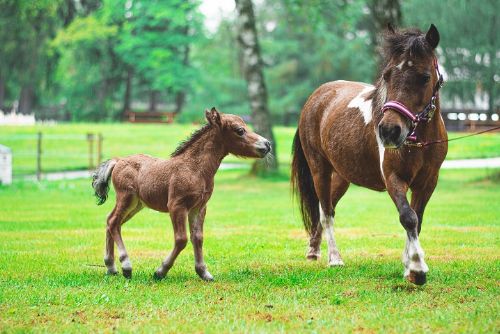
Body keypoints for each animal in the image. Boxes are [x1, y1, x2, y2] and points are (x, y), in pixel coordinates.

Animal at [90, 108, 270, 280]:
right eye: (240, 130)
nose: (267, 144)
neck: (195, 169)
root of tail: (118, 161)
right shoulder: (177, 206)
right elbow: (181, 239)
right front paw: (160, 271)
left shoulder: (199, 208)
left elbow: (197, 237)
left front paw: (203, 272)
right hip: (126, 198)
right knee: (113, 222)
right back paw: (126, 266)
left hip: (136, 205)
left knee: (111, 221)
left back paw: (111, 267)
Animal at [292, 24, 448, 284]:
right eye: (387, 75)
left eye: (425, 77)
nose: (389, 131)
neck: (420, 142)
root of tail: (317, 97)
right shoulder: (394, 178)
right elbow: (408, 217)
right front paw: (416, 268)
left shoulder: (428, 182)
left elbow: (417, 219)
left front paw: (408, 266)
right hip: (319, 170)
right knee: (326, 212)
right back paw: (334, 258)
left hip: (341, 176)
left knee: (328, 207)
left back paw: (314, 250)